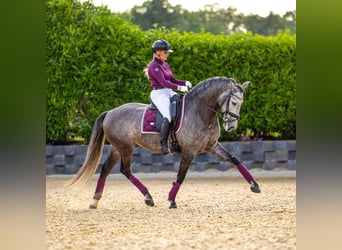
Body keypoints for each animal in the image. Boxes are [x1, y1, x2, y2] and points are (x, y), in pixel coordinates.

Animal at [65, 76, 260, 209]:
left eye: (241, 103)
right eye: (233, 102)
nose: (232, 126)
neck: (200, 111)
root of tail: (110, 112)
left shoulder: (211, 146)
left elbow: (234, 159)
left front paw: (254, 185)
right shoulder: (189, 151)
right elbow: (181, 175)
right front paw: (172, 200)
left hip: (117, 148)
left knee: (106, 169)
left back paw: (95, 201)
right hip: (125, 148)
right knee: (125, 170)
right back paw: (148, 197)